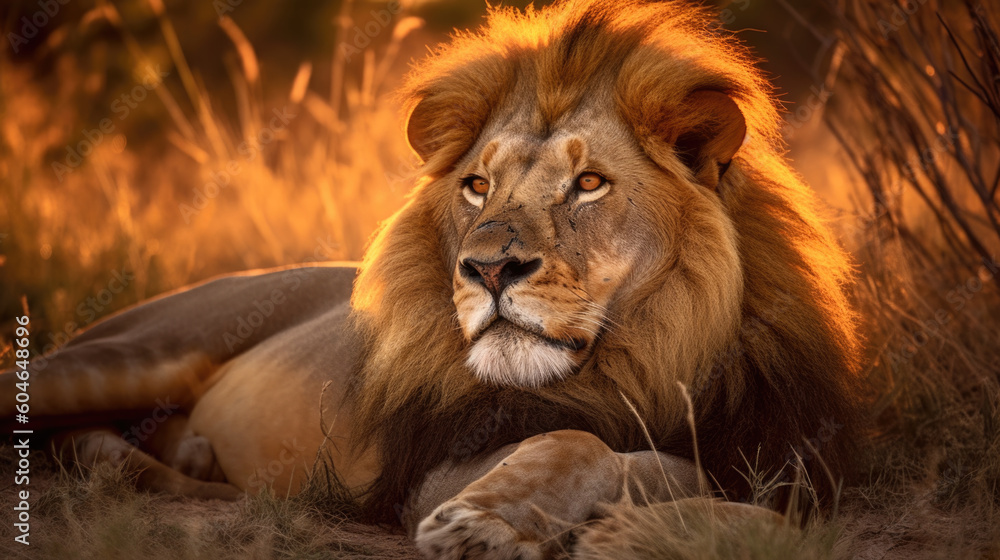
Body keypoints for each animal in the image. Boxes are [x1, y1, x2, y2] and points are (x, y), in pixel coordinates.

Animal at [1, 0, 866, 557]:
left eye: (589, 184)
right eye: (478, 186)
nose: (487, 267)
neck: (657, 352)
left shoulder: (795, 469)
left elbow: (763, 518)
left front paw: (634, 530)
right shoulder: (437, 466)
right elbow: (576, 439)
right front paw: (488, 524)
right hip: (126, 355)